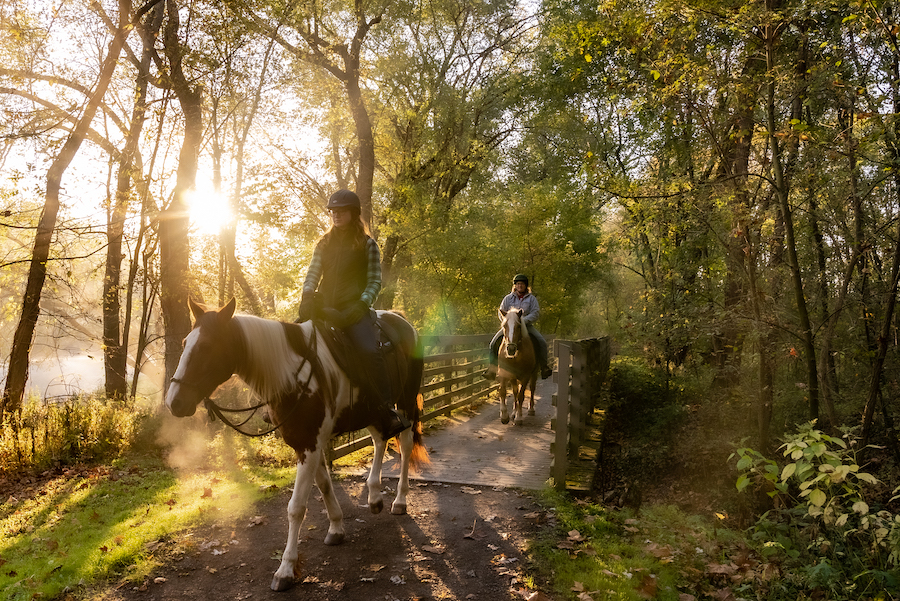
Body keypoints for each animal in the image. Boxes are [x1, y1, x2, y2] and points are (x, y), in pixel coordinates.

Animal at [164, 298, 426, 588]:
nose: (174, 402)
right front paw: (336, 528)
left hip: (405, 399)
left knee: (404, 445)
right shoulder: (311, 443)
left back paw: (399, 501)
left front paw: (286, 569)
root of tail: (401, 320)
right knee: (379, 439)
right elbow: (324, 486)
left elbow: (296, 507)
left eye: (207, 345)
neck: (291, 376)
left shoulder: (309, 445)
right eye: (186, 342)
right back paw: (375, 496)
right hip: (371, 410)